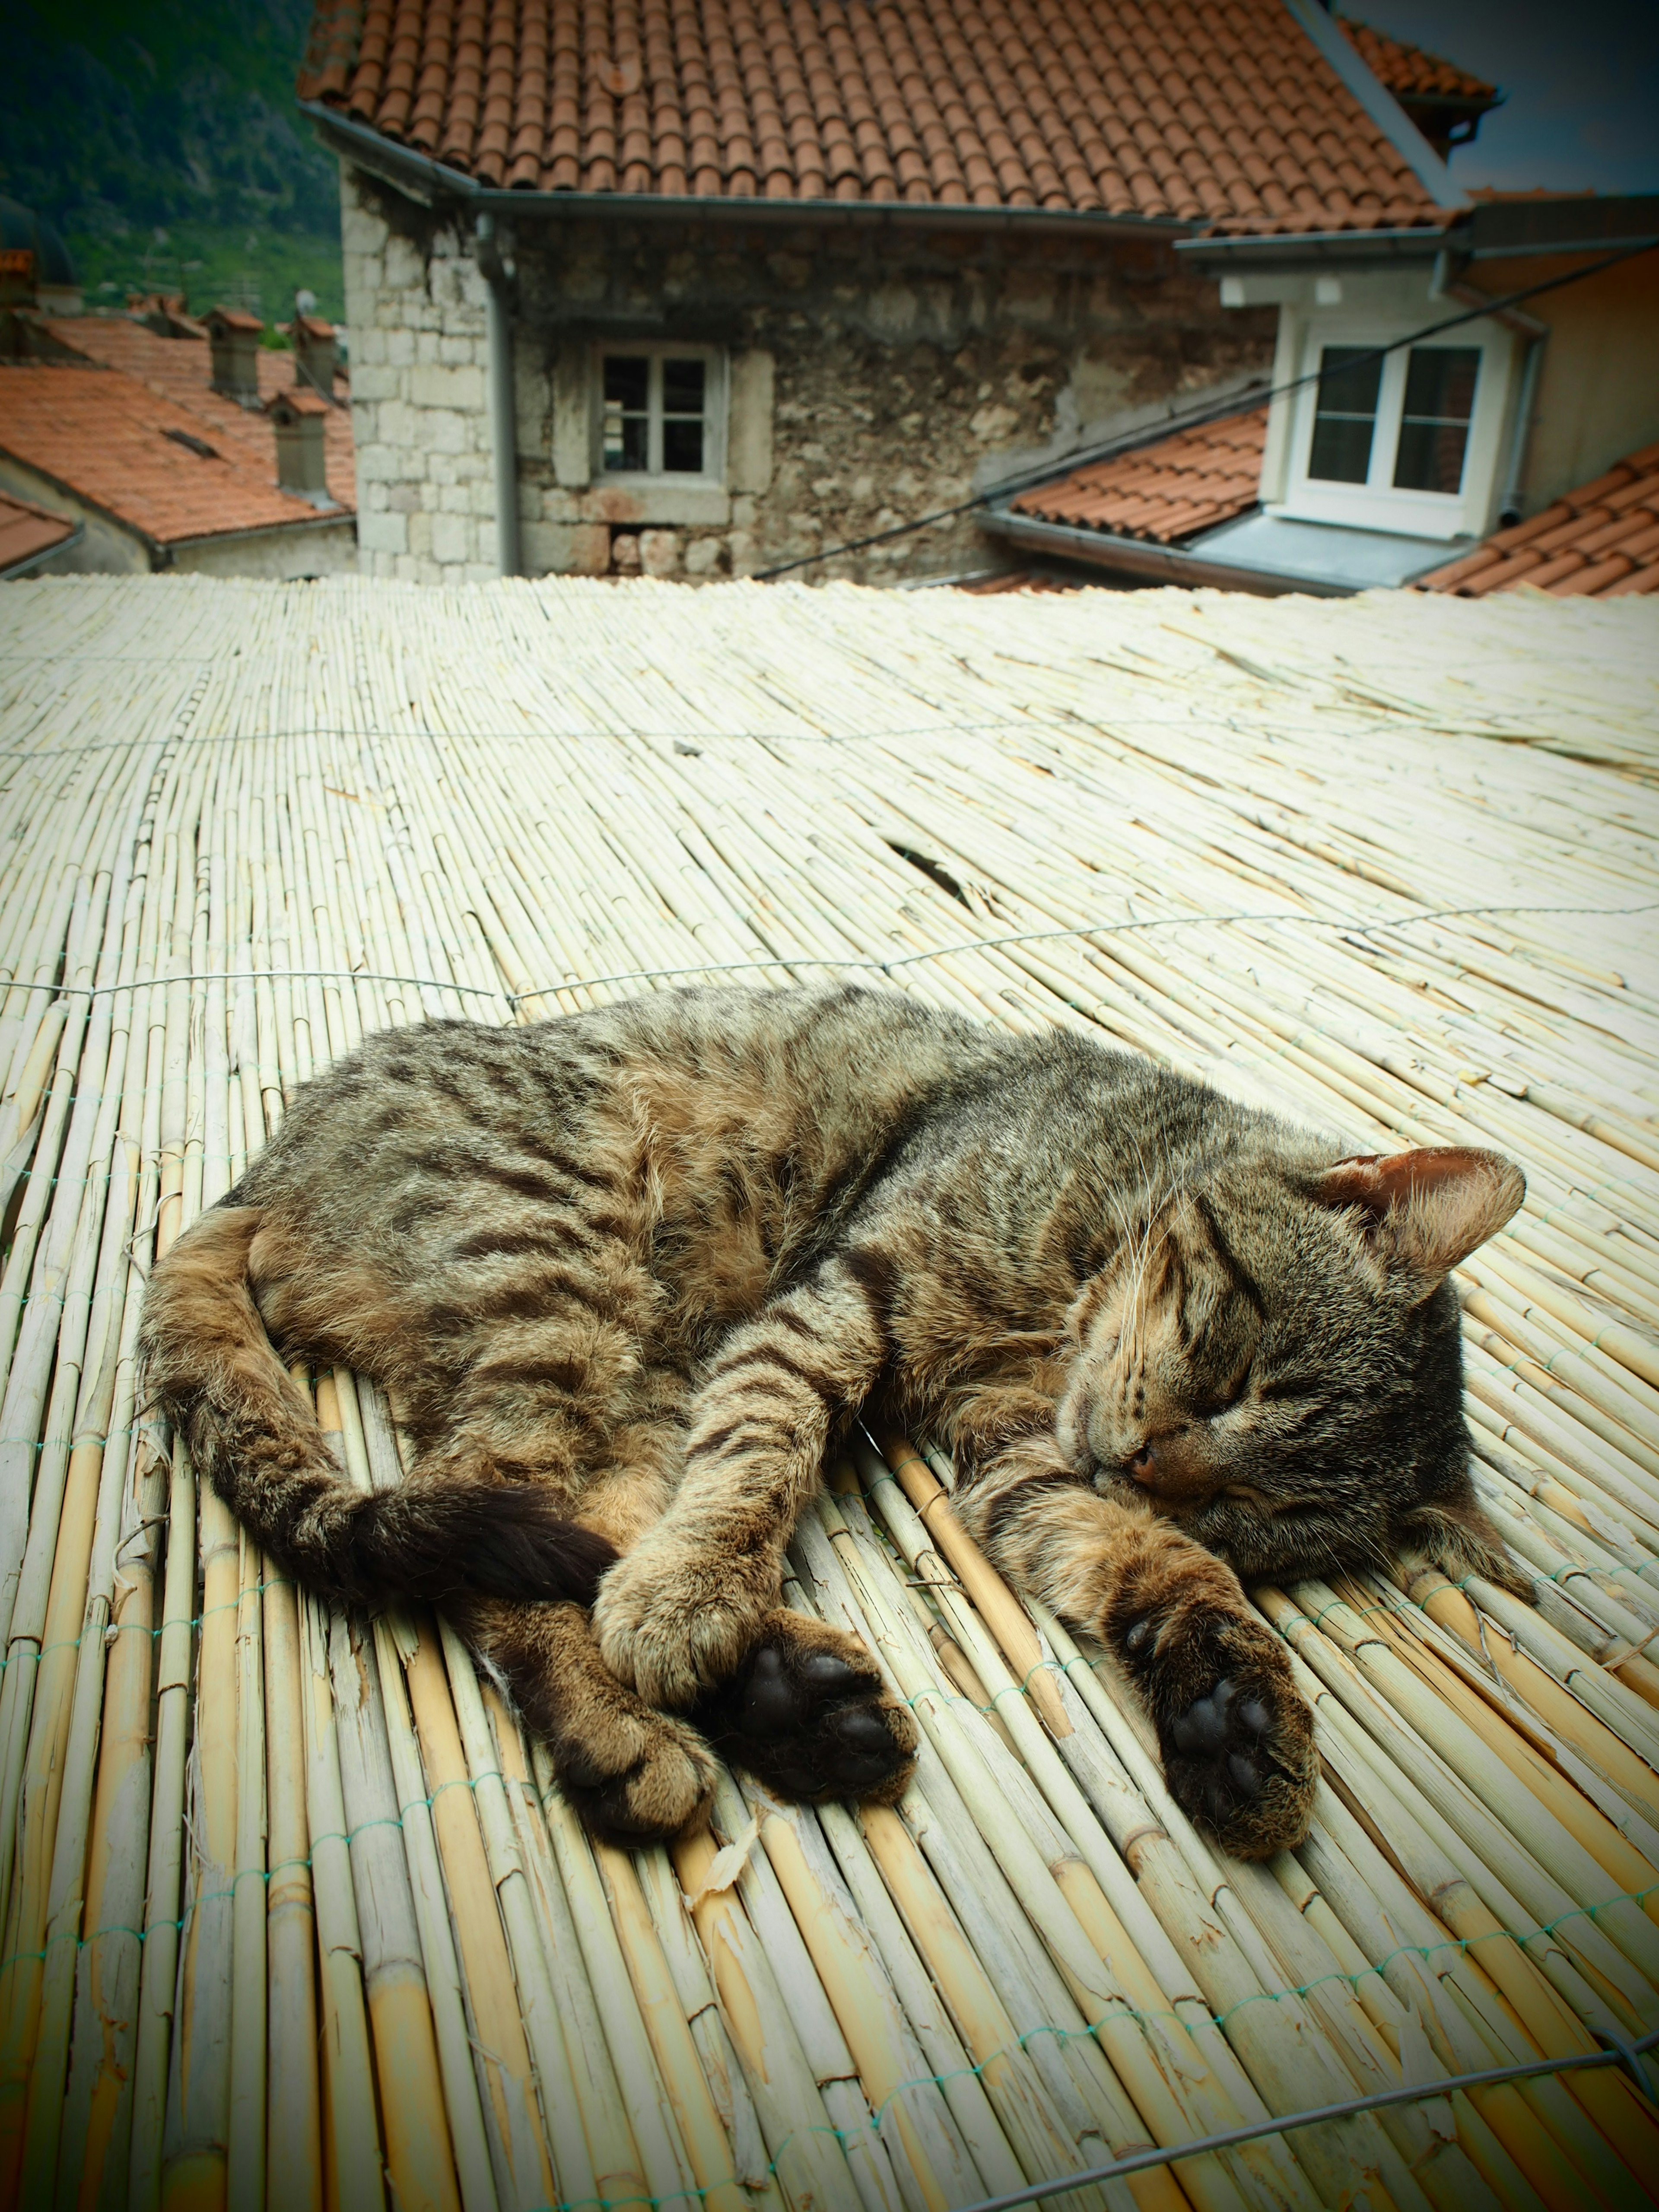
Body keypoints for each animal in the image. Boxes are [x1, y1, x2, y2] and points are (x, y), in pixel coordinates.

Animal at [143, 978, 1531, 1858]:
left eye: (1245, 1505)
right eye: (1234, 1364)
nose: (1145, 1457)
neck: (1061, 1312)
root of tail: (266, 1163)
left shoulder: (1016, 1460)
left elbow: (1153, 1564)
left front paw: (1234, 1714)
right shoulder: (846, 1293)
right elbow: (764, 1446)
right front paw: (698, 1585)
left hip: (635, 1375)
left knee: (566, 1533)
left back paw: (784, 1701)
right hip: (570, 1278)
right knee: (497, 1539)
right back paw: (642, 1722)